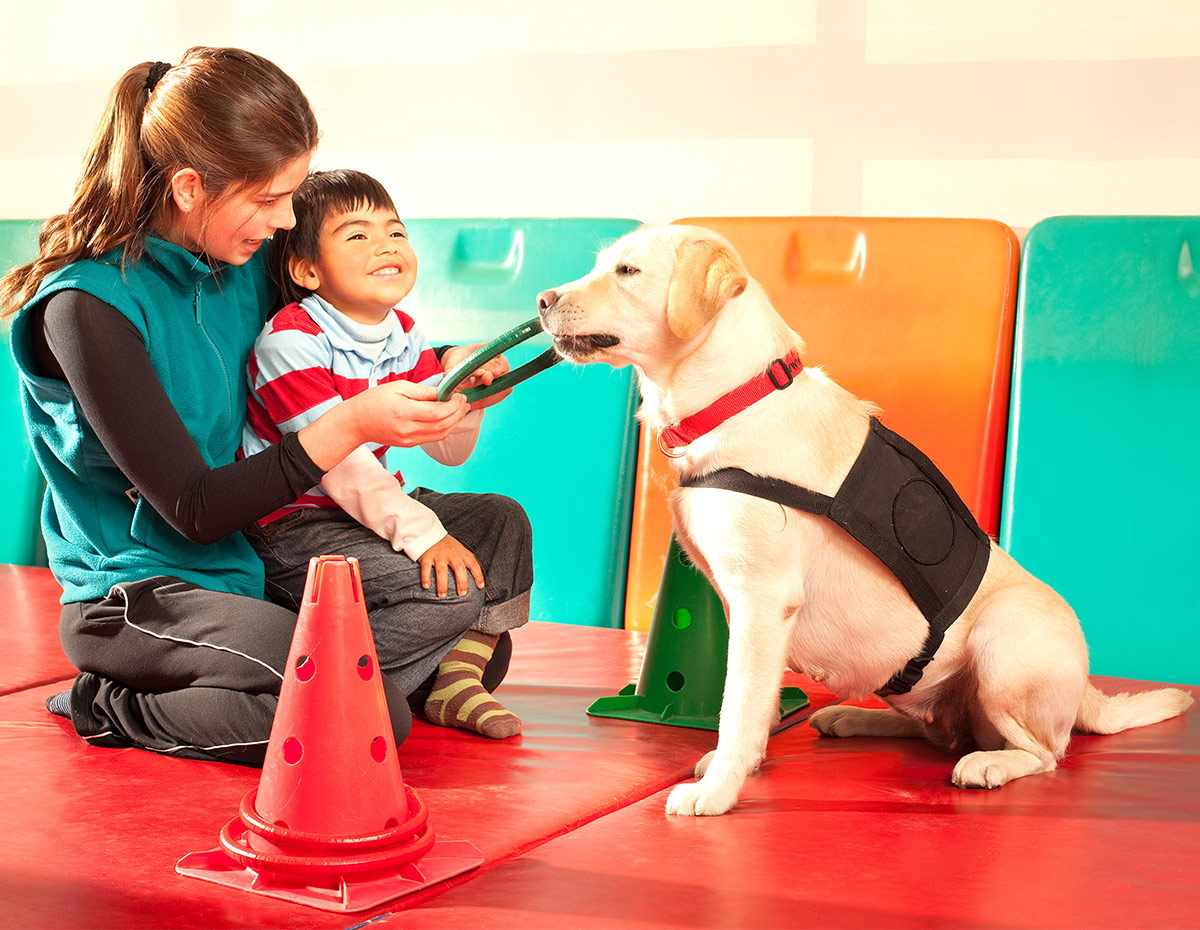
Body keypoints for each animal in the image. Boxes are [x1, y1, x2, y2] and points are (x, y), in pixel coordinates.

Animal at [542, 225, 1190, 816]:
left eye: (627, 271)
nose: (543, 300)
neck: (736, 398)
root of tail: (1088, 691)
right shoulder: (741, 607)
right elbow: (754, 701)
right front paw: (747, 761)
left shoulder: (761, 599)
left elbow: (737, 703)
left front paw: (719, 788)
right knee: (938, 729)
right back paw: (852, 717)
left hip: (1003, 647)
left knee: (1044, 754)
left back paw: (988, 763)